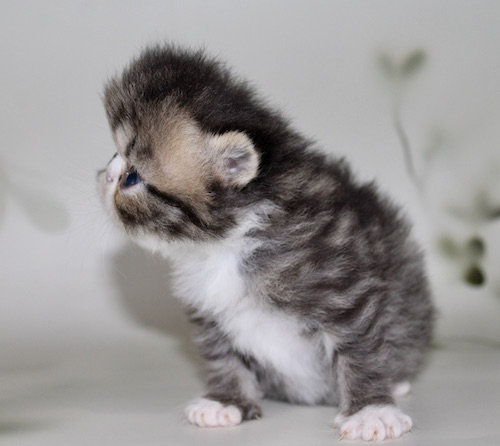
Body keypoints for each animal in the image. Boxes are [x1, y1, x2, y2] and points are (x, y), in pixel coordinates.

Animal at [98, 45, 434, 441]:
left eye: (132, 177)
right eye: (114, 157)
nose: (105, 175)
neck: (226, 246)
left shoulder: (344, 289)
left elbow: (360, 350)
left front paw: (370, 411)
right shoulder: (210, 313)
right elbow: (223, 357)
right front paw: (227, 402)